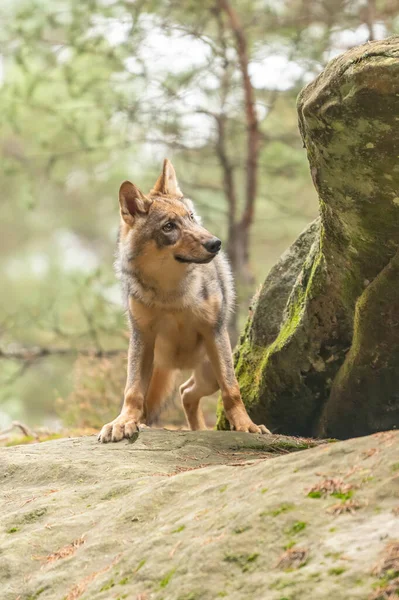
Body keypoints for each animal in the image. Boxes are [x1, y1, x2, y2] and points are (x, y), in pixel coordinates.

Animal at [98, 158, 270, 440]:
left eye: (191, 218)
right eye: (169, 226)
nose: (215, 243)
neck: (171, 295)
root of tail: (176, 363)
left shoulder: (214, 331)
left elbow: (232, 391)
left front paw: (247, 426)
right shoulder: (142, 337)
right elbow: (132, 392)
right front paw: (122, 422)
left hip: (210, 371)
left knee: (188, 392)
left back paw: (200, 429)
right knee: (177, 394)